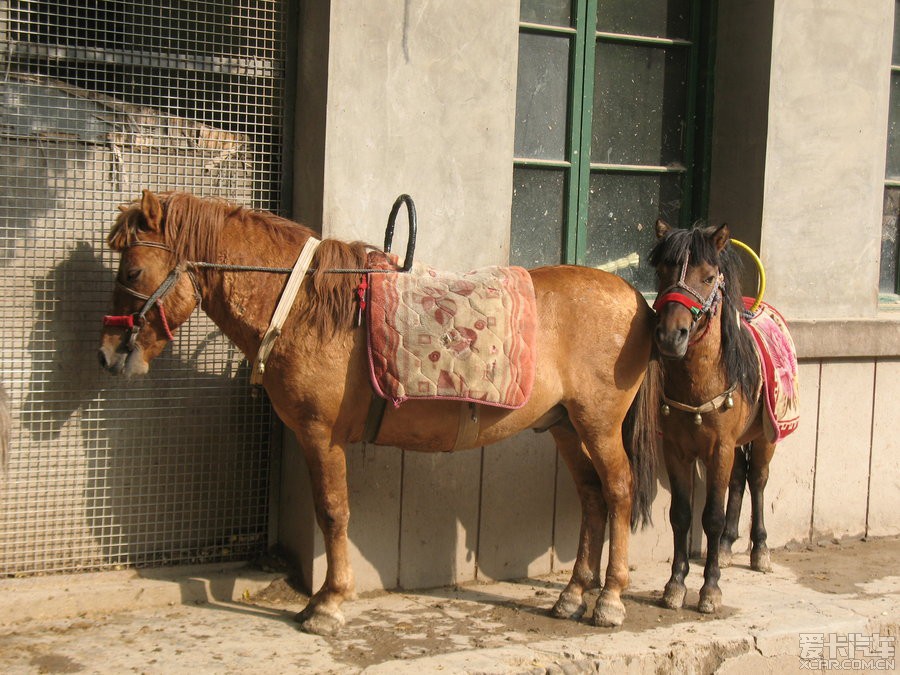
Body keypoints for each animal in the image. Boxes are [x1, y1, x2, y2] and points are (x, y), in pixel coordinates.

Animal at [98, 189, 660, 632]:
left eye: (132, 270)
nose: (108, 355)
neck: (304, 307)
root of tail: (637, 298)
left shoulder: (320, 435)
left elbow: (332, 512)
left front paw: (328, 604)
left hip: (598, 424)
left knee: (617, 490)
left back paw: (609, 599)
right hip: (564, 424)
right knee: (591, 496)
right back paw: (573, 594)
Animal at [652, 223, 776, 616]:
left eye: (708, 277)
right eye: (661, 272)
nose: (670, 336)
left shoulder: (718, 449)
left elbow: (711, 516)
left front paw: (710, 590)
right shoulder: (676, 450)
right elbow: (680, 514)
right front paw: (675, 585)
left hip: (765, 439)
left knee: (758, 480)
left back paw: (760, 550)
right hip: (735, 444)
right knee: (739, 479)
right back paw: (725, 545)